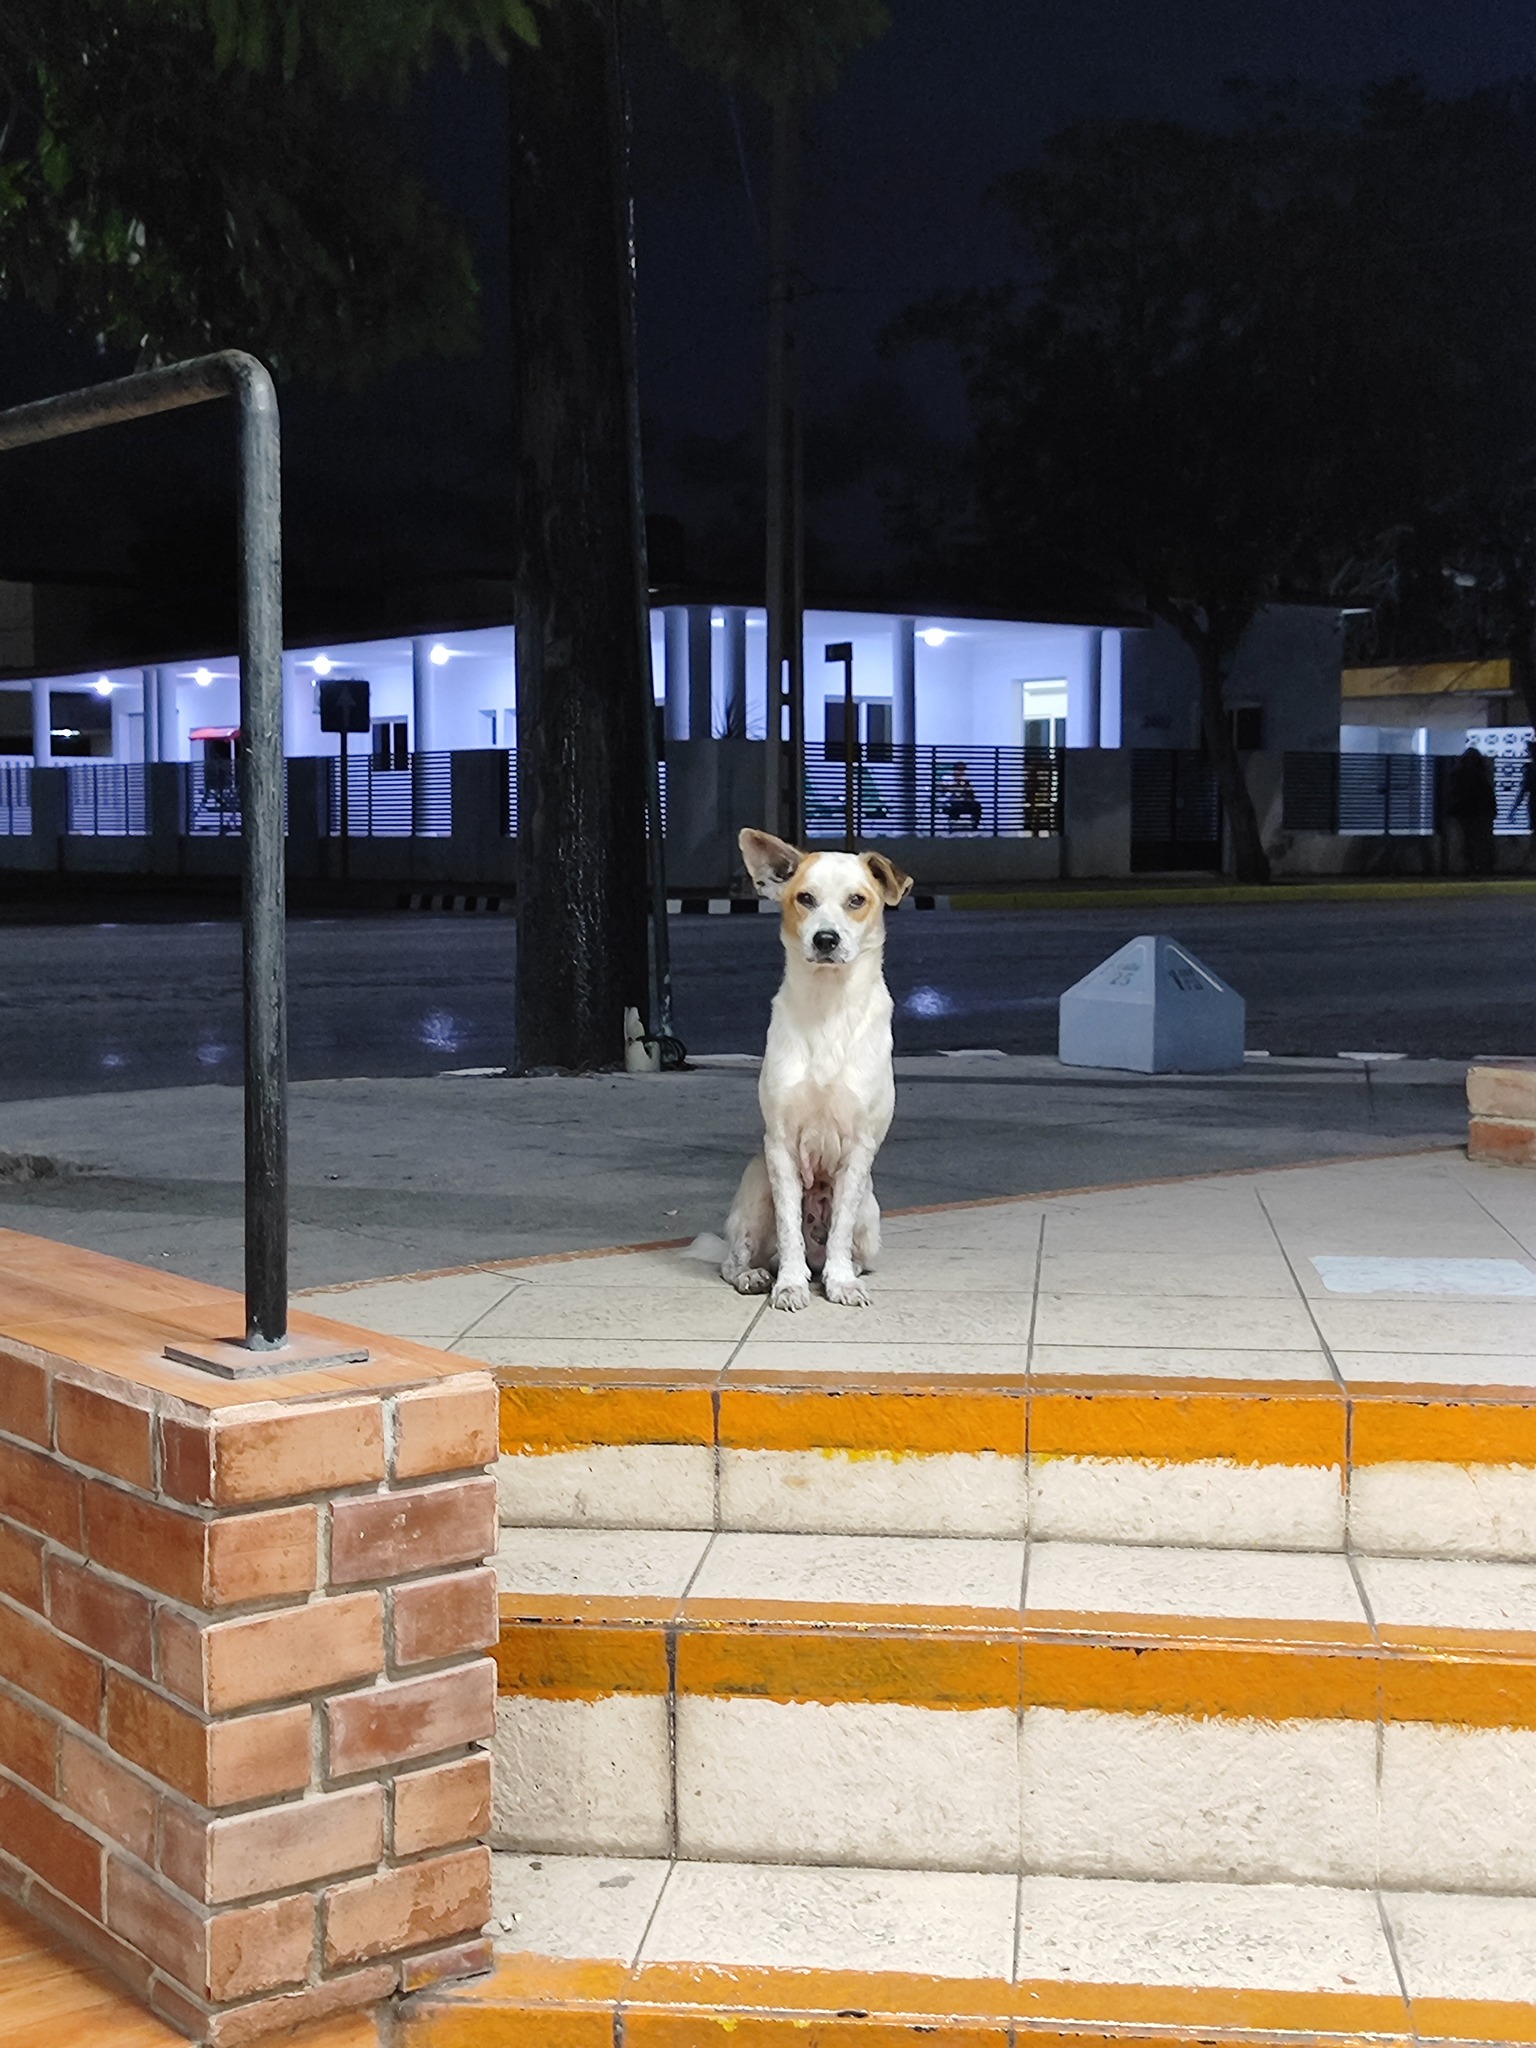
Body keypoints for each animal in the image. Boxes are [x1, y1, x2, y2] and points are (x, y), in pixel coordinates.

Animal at [721, 829, 913, 1310]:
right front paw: (789, 1285)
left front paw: (841, 1282)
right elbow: (789, 1227)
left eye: (857, 900)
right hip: (756, 1182)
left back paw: (836, 1271)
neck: (829, 1008)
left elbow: (840, 1229)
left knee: (845, 1248)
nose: (826, 939)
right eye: (805, 898)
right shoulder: (781, 1146)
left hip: (871, 1213)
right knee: (738, 1258)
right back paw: (756, 1275)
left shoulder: (859, 1148)